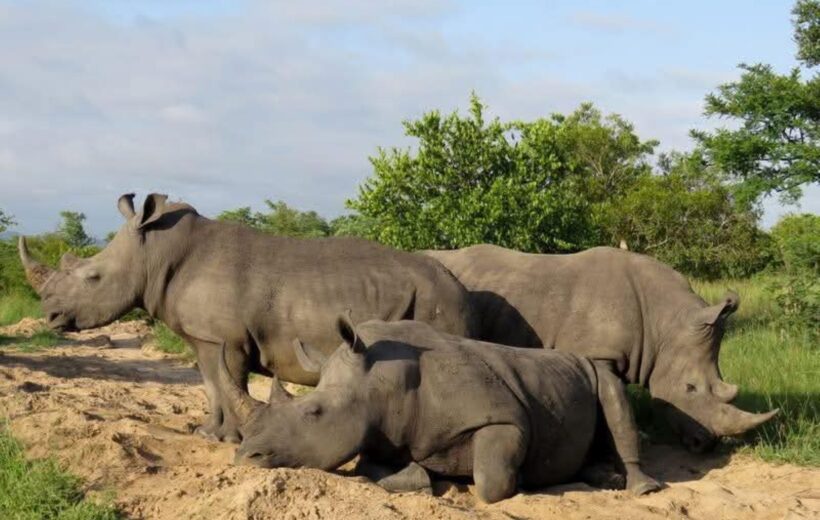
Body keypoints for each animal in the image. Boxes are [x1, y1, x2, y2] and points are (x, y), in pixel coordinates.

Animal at [18, 193, 476, 442]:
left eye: (93, 278)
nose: (51, 316)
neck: (155, 254)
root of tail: (461, 285)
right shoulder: (204, 337)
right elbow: (210, 385)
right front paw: (207, 433)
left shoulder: (227, 339)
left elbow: (227, 383)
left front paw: (226, 437)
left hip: (439, 301)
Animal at [223, 314, 662, 503]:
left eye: (313, 413)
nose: (247, 457)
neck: (379, 384)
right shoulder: (380, 433)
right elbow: (373, 469)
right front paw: (421, 479)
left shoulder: (502, 418)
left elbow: (491, 481)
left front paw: (523, 482)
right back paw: (600, 476)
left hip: (594, 372)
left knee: (613, 393)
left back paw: (641, 488)